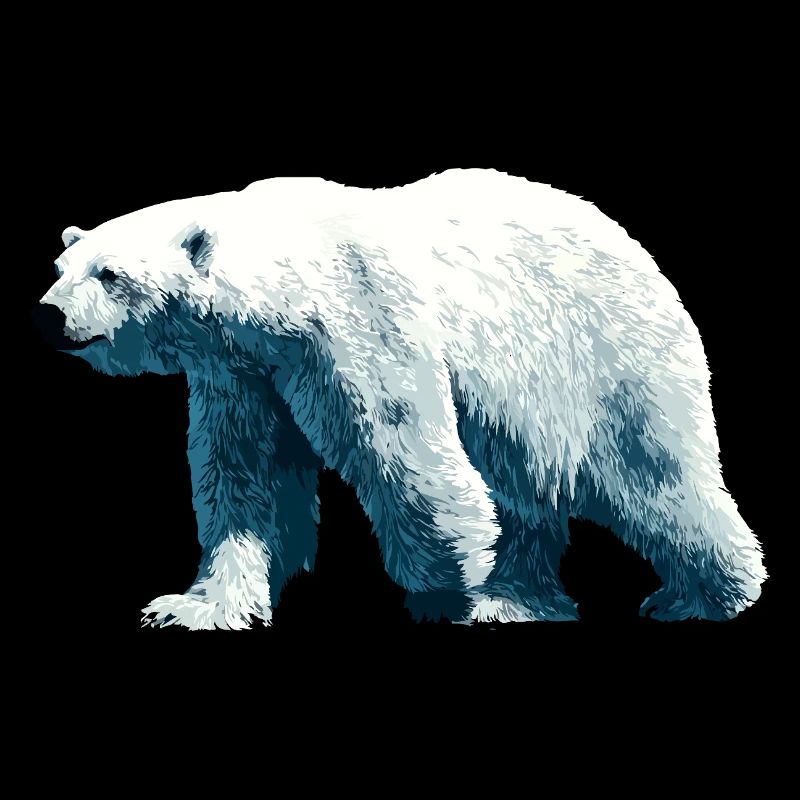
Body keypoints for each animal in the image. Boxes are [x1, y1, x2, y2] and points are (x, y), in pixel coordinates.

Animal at [35, 169, 765, 629]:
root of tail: (641, 253)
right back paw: (516, 600)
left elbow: (401, 445)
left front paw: (446, 588)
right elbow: (246, 479)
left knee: (651, 473)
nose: (49, 314)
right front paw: (194, 607)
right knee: (525, 490)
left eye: (110, 274)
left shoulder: (358, 319)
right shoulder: (242, 372)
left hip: (599, 359)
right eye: (62, 266)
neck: (283, 279)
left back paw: (701, 597)